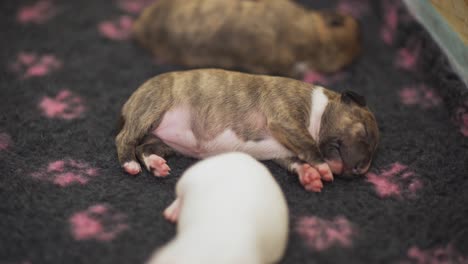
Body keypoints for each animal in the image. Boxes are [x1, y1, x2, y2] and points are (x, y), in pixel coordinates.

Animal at [116, 68, 380, 192]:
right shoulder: (285, 119)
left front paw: (309, 175)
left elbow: (296, 161)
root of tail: (128, 103)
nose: (362, 170)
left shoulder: (284, 150)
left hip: (163, 142)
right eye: (364, 132)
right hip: (152, 106)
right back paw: (130, 163)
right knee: (124, 139)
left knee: (144, 148)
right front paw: (322, 168)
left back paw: (155, 164)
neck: (320, 108)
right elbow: (310, 145)